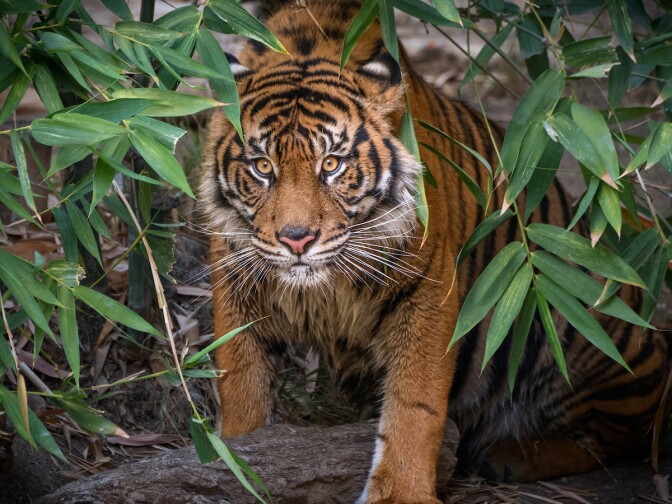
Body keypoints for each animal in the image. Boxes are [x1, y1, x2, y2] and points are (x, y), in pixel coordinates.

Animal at [199, 1, 670, 502]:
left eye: (331, 164)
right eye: (262, 167)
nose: (296, 239)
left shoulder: (428, 292)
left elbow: (414, 402)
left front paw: (401, 492)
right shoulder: (238, 282)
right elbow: (242, 381)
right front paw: (238, 462)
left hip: (579, 332)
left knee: (618, 433)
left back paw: (508, 457)